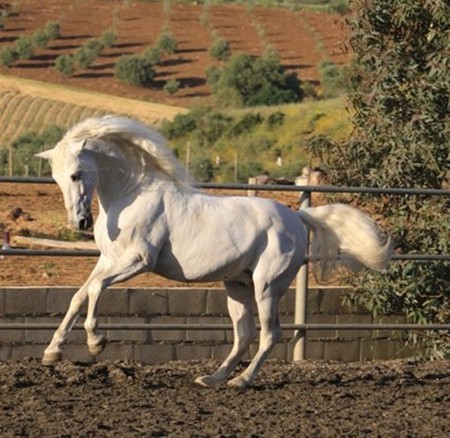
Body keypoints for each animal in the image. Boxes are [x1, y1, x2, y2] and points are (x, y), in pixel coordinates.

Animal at [37, 115, 392, 386]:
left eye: (76, 174)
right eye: (55, 178)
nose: (80, 222)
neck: (131, 195)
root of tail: (297, 217)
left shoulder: (137, 261)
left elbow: (95, 290)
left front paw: (96, 343)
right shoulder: (108, 260)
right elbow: (79, 296)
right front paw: (52, 353)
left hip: (267, 286)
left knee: (269, 334)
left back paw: (241, 381)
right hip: (237, 285)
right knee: (244, 334)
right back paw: (213, 378)